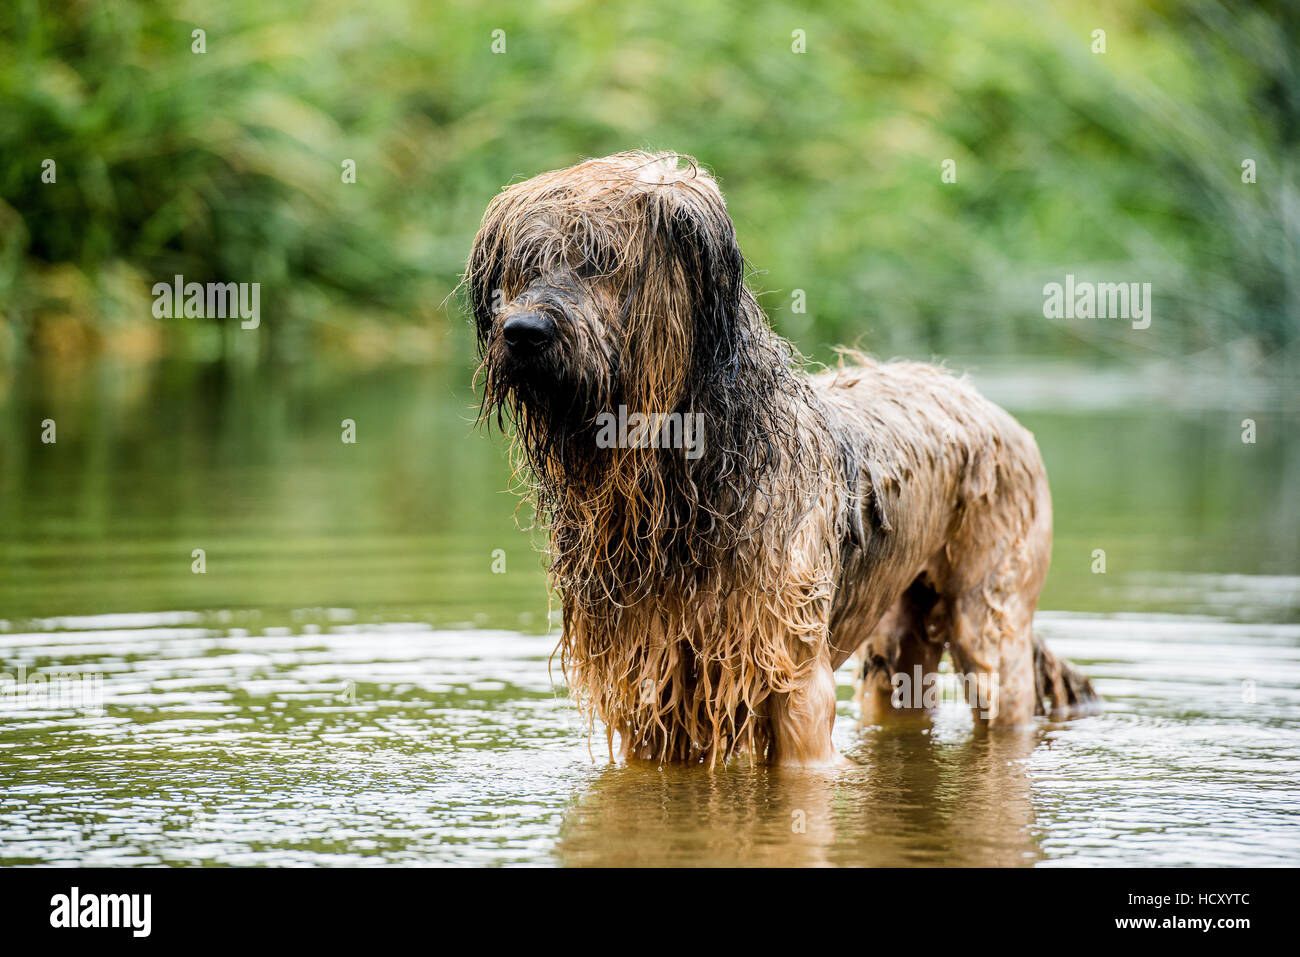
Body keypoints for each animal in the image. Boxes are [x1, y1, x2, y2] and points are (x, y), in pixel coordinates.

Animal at [467, 151, 1097, 769]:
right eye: (524, 267)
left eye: (601, 261)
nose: (522, 331)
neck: (678, 484)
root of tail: (984, 402)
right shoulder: (651, 685)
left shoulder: (791, 679)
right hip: (895, 640)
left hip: (990, 620)